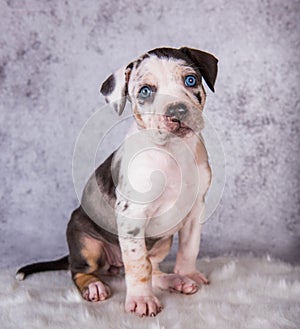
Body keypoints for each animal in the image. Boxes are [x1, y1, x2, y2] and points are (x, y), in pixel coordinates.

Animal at [16, 46, 218, 316]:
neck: (173, 151)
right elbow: (138, 265)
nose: (177, 110)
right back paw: (94, 286)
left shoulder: (195, 211)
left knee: (153, 267)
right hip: (86, 242)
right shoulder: (132, 214)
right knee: (79, 270)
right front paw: (142, 300)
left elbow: (189, 248)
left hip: (162, 242)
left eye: (191, 80)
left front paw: (189, 274)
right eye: (145, 91)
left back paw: (175, 280)